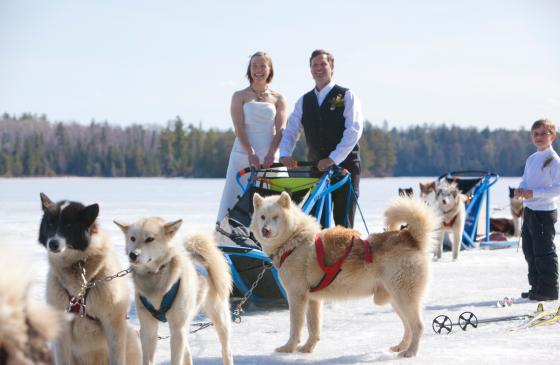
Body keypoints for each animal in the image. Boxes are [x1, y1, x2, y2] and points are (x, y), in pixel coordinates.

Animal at [38, 192, 141, 362]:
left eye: (69, 225)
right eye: (50, 224)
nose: (52, 243)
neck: (77, 265)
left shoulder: (113, 321)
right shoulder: (62, 323)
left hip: (130, 337)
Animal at [115, 218, 233, 362]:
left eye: (150, 239)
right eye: (132, 238)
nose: (133, 254)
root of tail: (200, 257)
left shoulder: (177, 329)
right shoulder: (148, 329)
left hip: (219, 318)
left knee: (226, 351)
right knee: (187, 354)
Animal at [249, 192, 438, 356]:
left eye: (275, 217)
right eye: (262, 217)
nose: (265, 230)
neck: (295, 241)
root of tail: (409, 236)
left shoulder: (297, 296)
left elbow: (295, 327)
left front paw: (288, 348)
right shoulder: (313, 299)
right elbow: (313, 328)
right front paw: (307, 349)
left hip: (404, 298)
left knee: (418, 326)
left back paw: (410, 352)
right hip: (396, 300)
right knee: (408, 327)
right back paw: (401, 347)